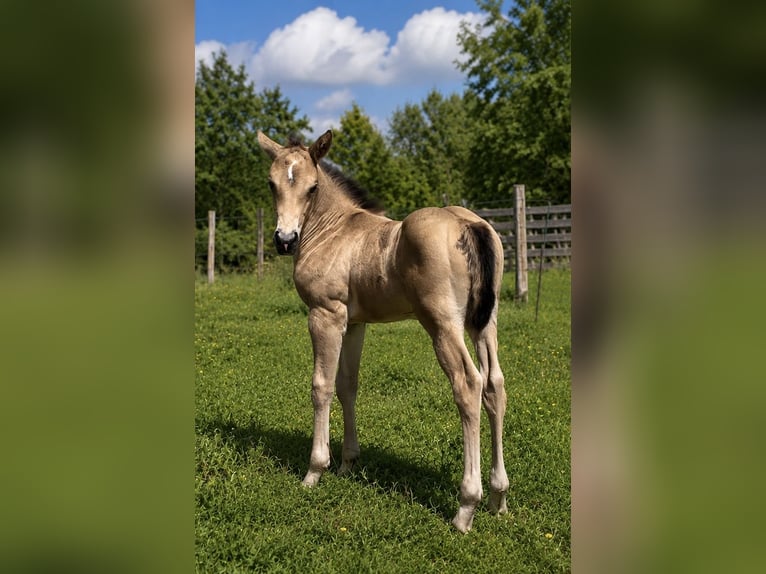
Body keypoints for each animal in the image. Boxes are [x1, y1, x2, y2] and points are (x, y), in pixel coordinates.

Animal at [257, 129, 509, 532]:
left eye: (312, 188)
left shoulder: (324, 314)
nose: (284, 240)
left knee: (468, 383)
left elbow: (321, 386)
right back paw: (499, 497)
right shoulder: (353, 323)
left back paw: (466, 507)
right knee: (494, 384)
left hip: (442, 323)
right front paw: (347, 462)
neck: (332, 230)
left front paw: (315, 471)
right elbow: (347, 385)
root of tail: (469, 224)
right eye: (271, 182)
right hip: (483, 322)